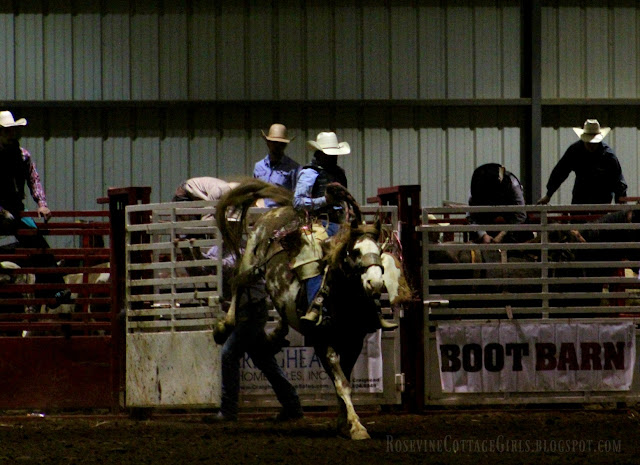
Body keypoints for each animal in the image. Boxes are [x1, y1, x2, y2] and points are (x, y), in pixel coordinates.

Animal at [211, 179, 410, 438]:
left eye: (379, 248)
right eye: (355, 250)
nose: (374, 283)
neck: (343, 299)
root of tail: (281, 210)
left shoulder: (353, 342)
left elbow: (343, 382)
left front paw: (343, 422)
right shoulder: (322, 341)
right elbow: (342, 384)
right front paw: (356, 426)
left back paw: (276, 334)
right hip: (251, 262)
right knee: (237, 282)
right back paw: (223, 327)